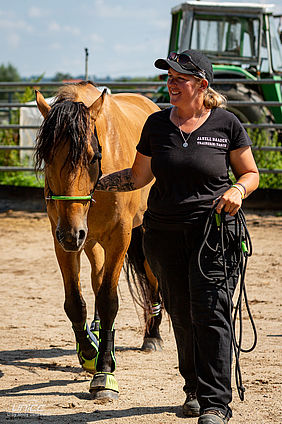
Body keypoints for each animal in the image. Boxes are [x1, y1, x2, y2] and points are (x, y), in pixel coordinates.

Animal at [34, 82, 163, 400]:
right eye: (47, 157)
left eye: (93, 157)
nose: (72, 232)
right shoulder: (63, 239)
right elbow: (75, 302)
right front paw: (90, 352)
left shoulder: (119, 237)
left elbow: (108, 300)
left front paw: (104, 372)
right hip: (89, 241)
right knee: (97, 276)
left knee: (151, 277)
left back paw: (152, 335)